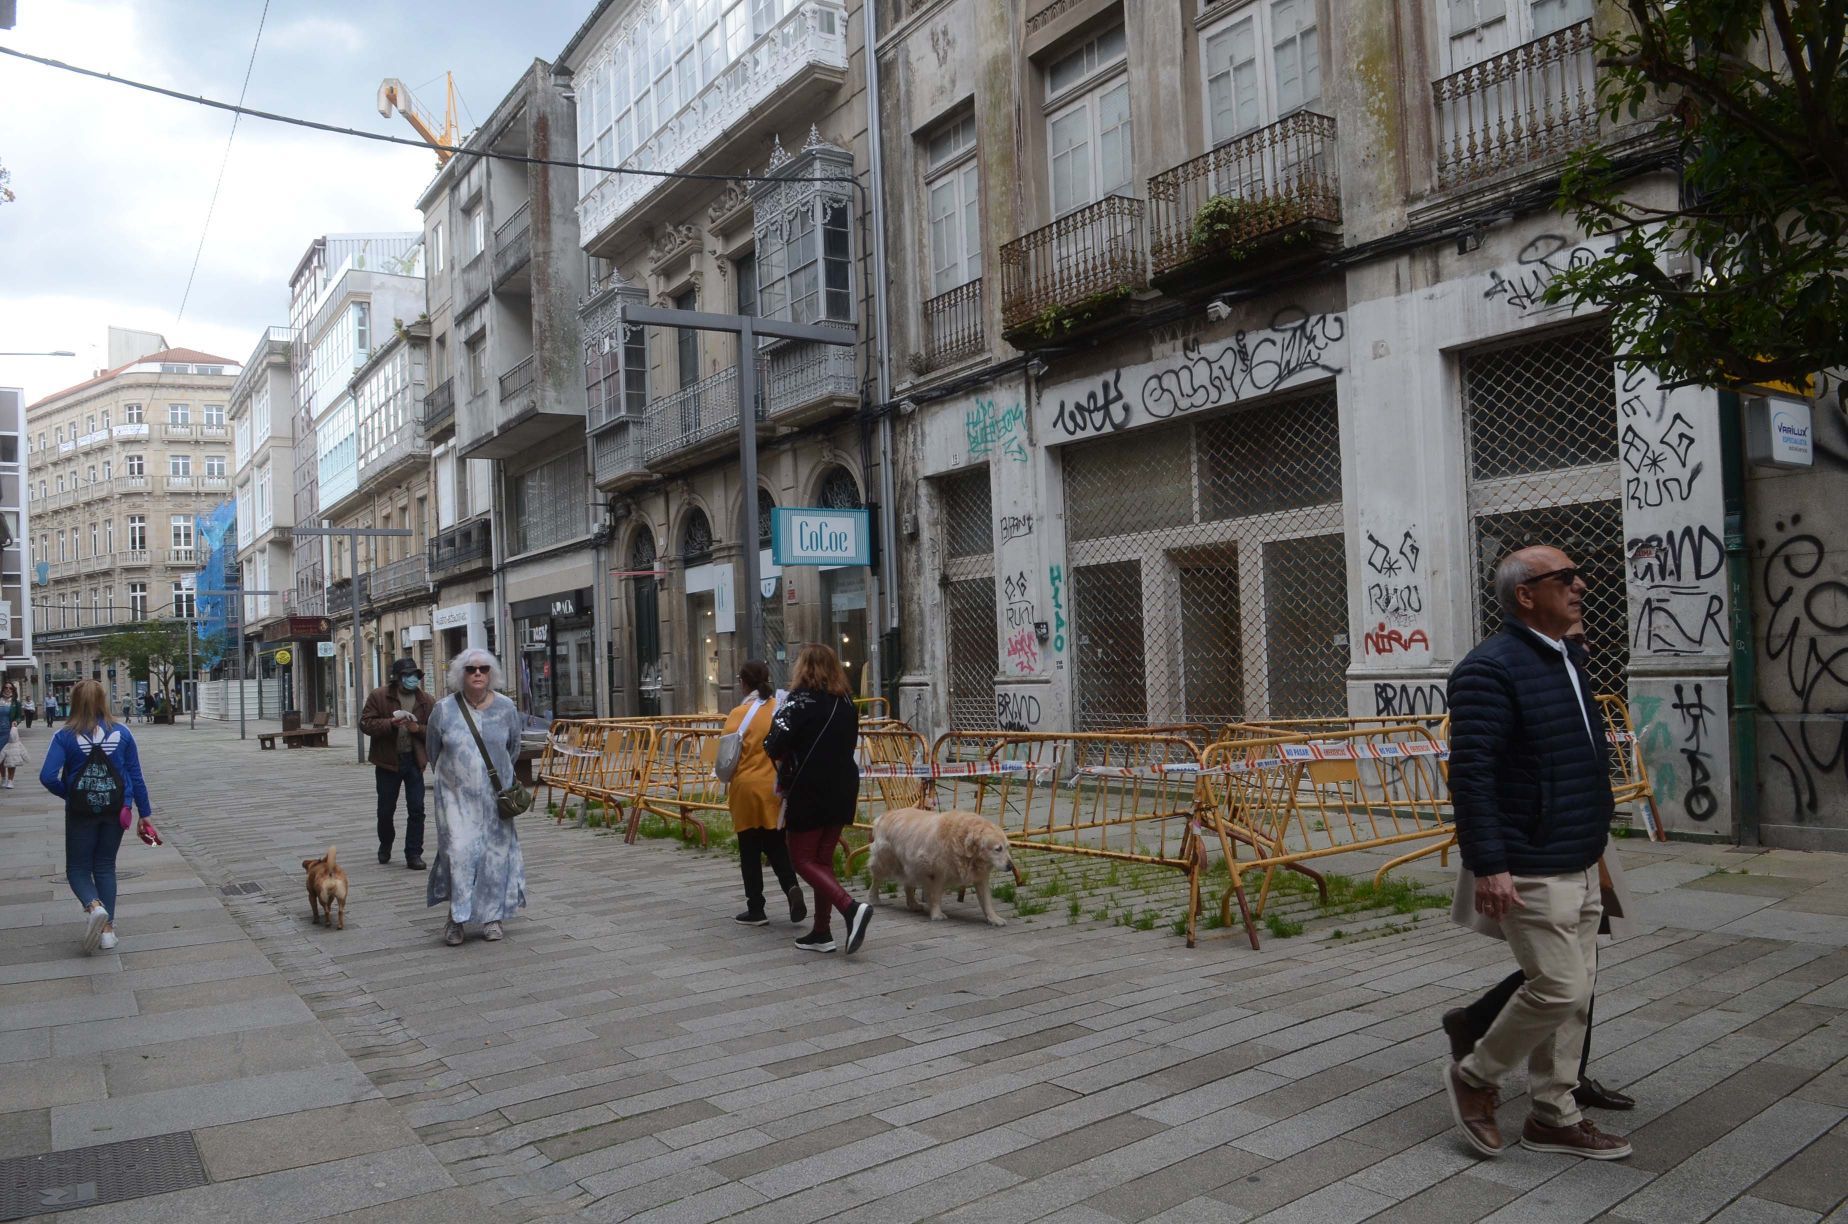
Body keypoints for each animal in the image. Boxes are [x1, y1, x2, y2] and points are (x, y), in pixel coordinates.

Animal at [868, 806, 1027, 931]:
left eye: (1007, 847)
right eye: (997, 849)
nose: (1010, 866)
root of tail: (884, 815)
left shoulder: (980, 877)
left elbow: (986, 900)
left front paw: (994, 918)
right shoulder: (936, 874)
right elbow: (935, 896)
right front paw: (937, 914)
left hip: (910, 865)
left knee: (908, 883)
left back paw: (913, 904)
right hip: (885, 861)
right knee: (876, 879)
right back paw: (874, 899)